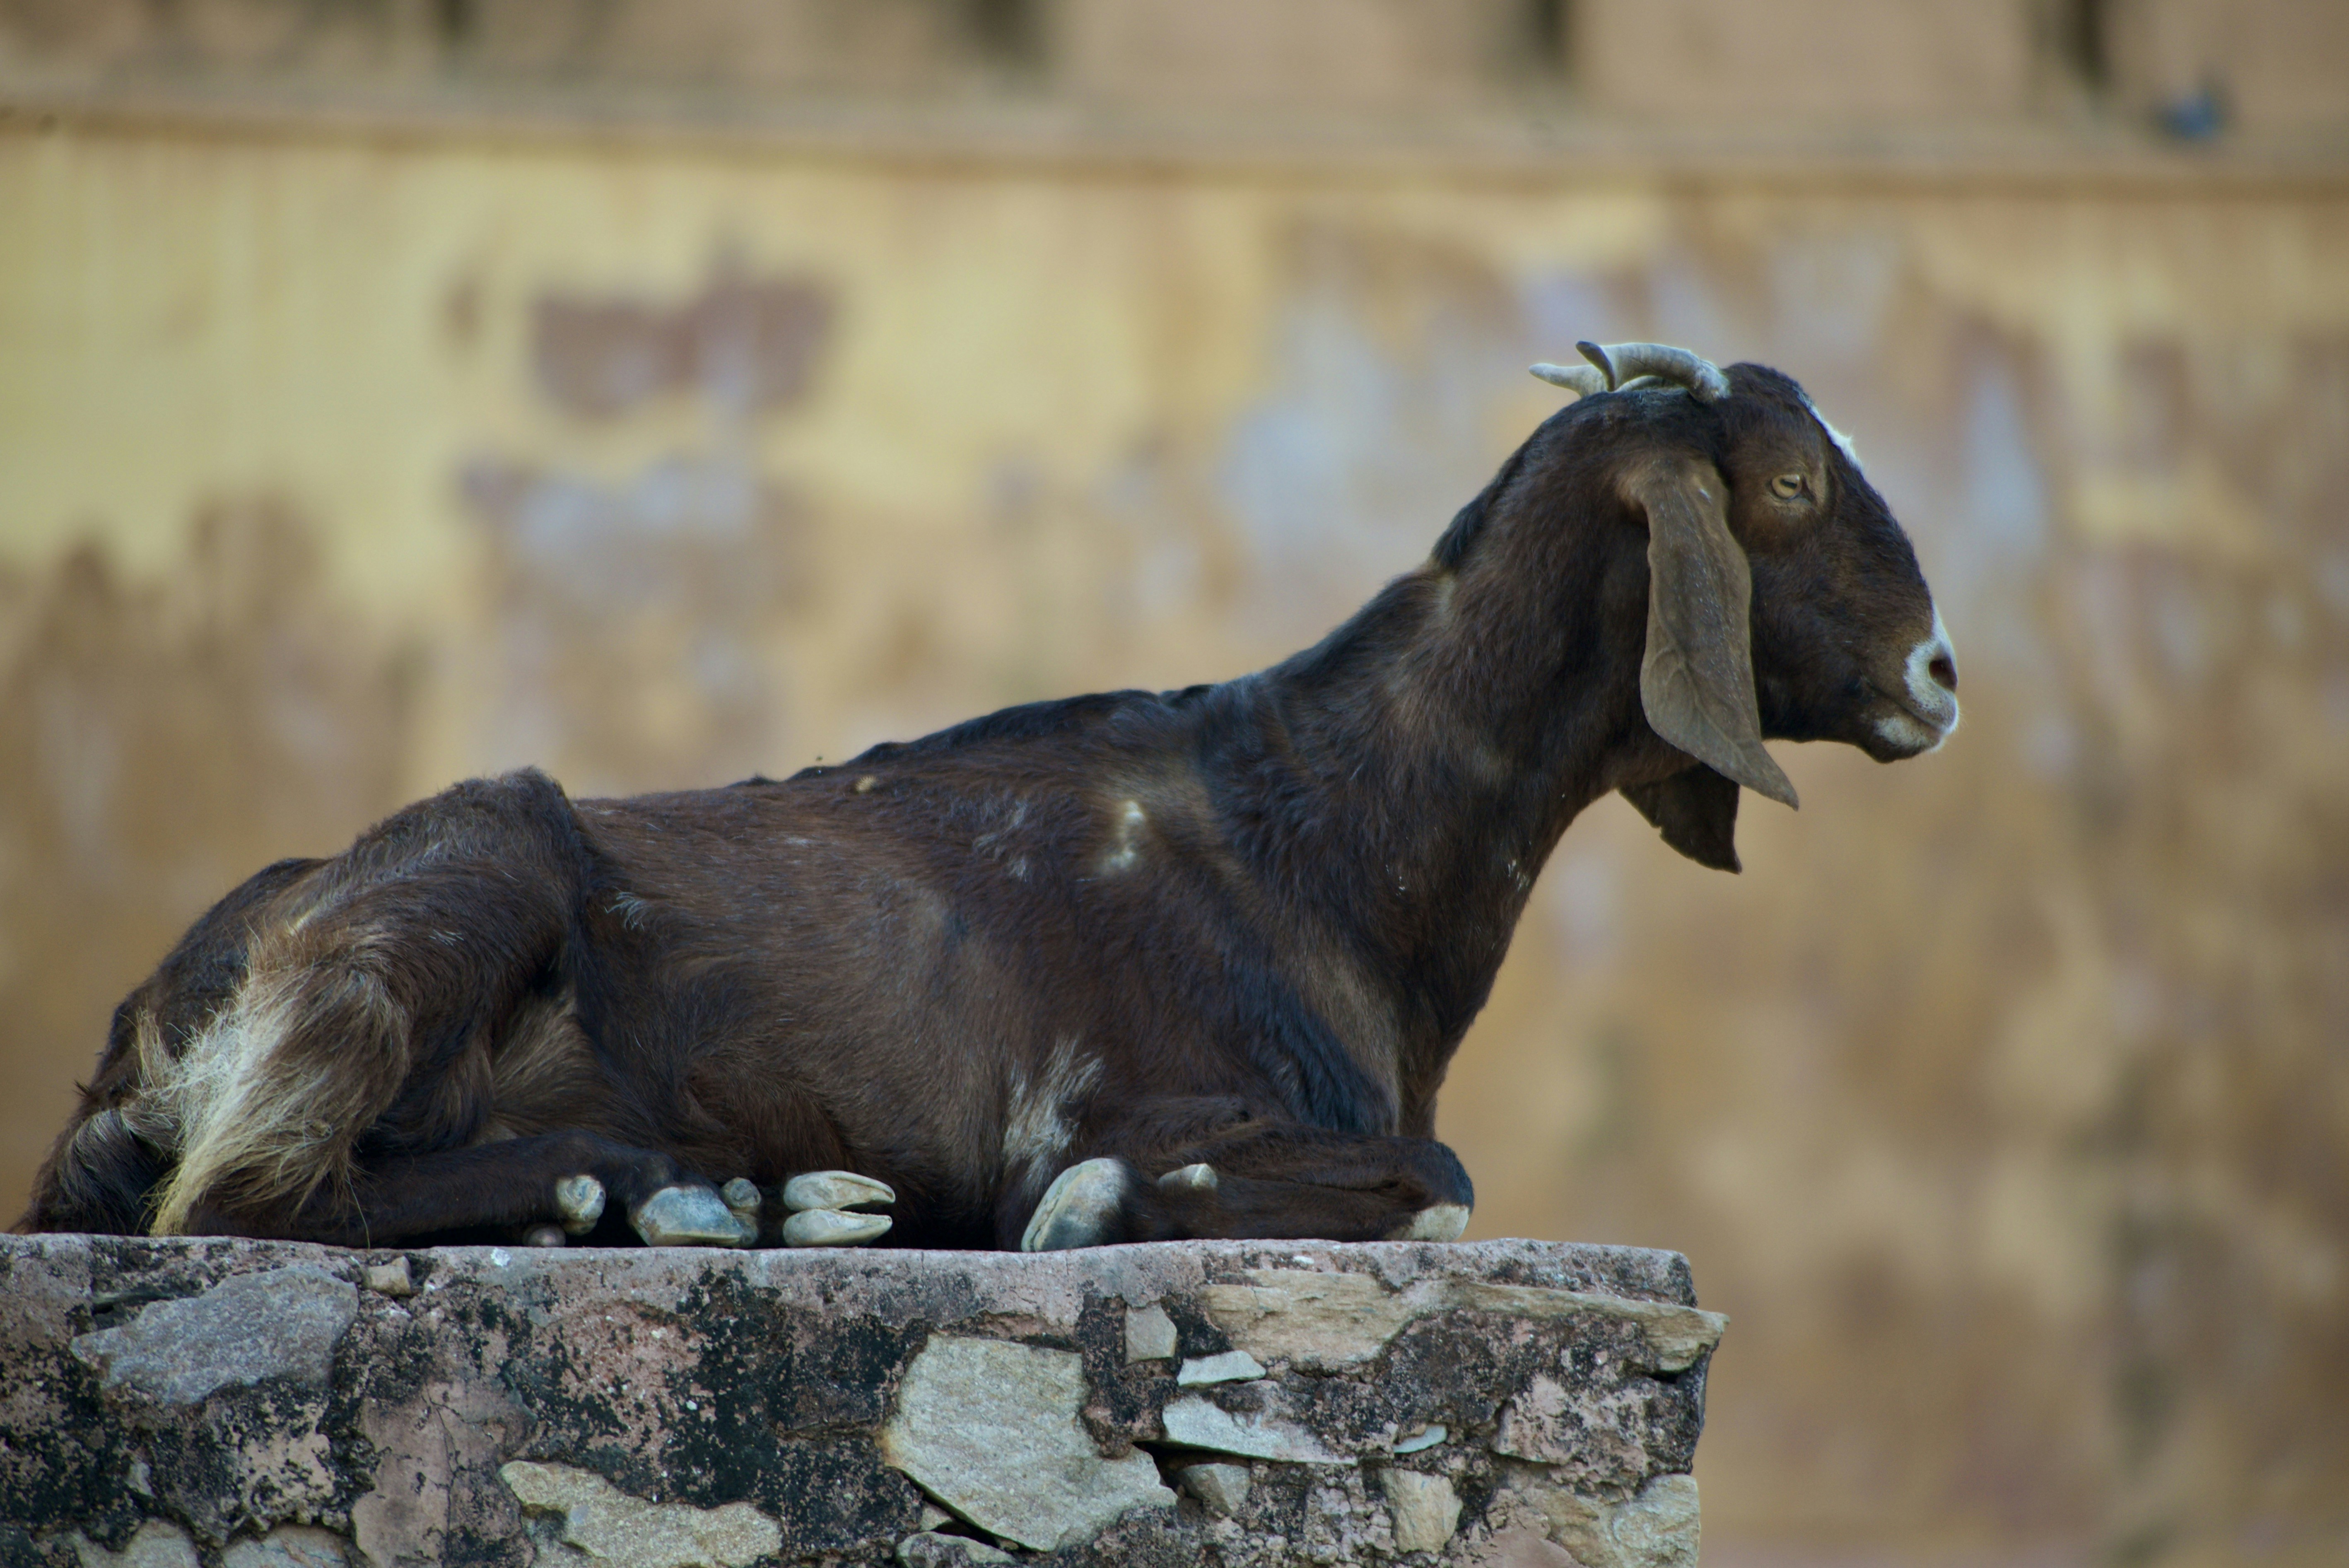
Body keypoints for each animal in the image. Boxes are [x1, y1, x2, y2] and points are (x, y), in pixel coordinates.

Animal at [20, 342, 1959, 1253]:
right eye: (1790, 483)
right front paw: (1091, 1206)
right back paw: (671, 1195)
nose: (1941, 676)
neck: (1321, 835)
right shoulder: (1162, 1090)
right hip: (452, 886)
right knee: (247, 1198)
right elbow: (1440, 1175)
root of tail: (145, 1022)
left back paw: (731, 1198)